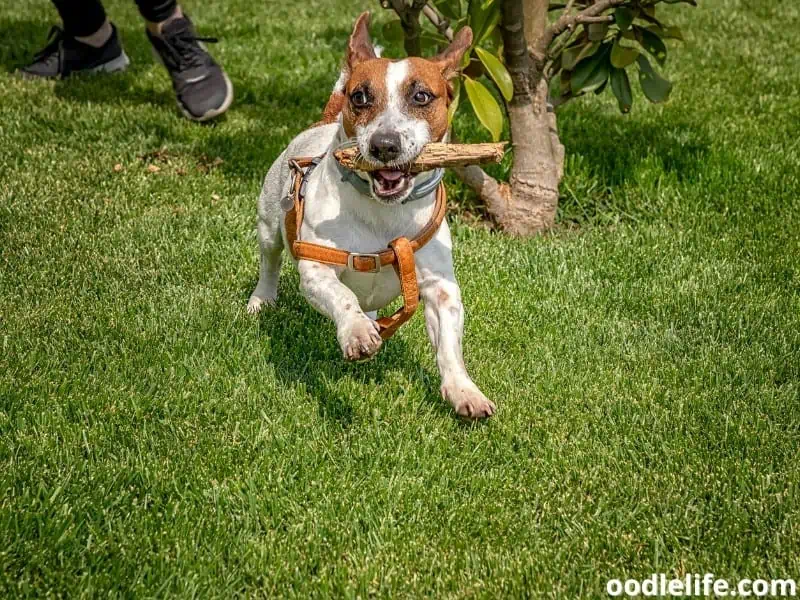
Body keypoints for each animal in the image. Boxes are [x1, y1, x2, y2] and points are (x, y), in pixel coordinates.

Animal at [247, 11, 494, 420]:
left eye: (421, 96)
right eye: (360, 97)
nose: (384, 145)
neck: (385, 215)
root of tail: (322, 122)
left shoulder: (441, 287)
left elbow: (449, 345)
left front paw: (463, 390)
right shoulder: (317, 269)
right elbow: (342, 294)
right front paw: (356, 332)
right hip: (269, 223)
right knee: (270, 261)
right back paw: (262, 300)